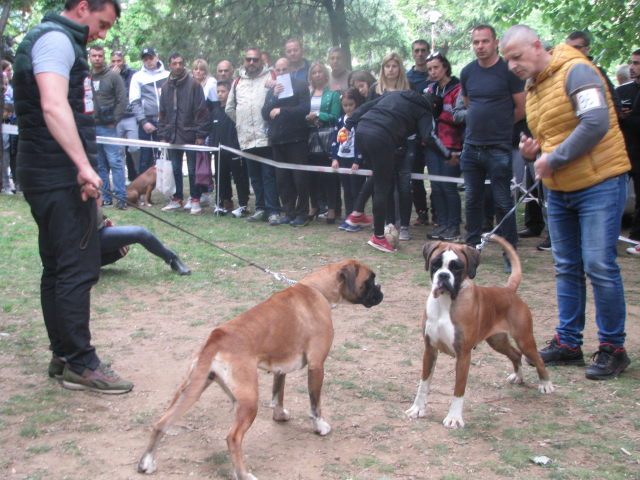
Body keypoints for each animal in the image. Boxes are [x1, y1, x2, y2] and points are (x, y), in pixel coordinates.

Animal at [138, 260, 382, 478]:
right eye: (370, 280)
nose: (381, 290)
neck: (317, 289)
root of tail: (216, 338)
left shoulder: (280, 368)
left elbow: (278, 394)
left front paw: (279, 415)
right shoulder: (317, 366)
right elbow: (315, 405)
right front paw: (320, 427)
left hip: (190, 390)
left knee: (160, 424)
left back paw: (146, 463)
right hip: (248, 402)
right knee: (233, 438)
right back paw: (243, 474)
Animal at [408, 235, 552, 428]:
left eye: (457, 267)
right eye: (435, 264)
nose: (444, 275)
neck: (446, 302)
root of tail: (508, 290)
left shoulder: (463, 355)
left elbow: (459, 390)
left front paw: (454, 418)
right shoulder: (430, 349)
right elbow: (423, 384)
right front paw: (417, 409)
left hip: (525, 339)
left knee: (537, 359)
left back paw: (546, 384)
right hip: (497, 341)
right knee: (515, 353)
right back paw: (518, 376)